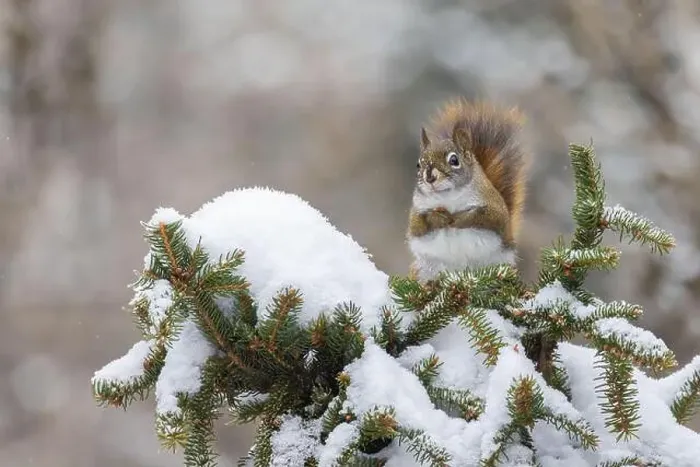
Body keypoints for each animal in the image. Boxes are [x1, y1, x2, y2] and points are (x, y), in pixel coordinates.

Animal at [406, 98, 529, 282]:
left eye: (454, 160)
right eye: (418, 165)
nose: (430, 177)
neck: (448, 197)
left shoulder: (494, 206)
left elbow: (485, 216)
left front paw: (459, 218)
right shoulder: (417, 210)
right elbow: (418, 224)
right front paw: (438, 218)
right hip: (425, 269)